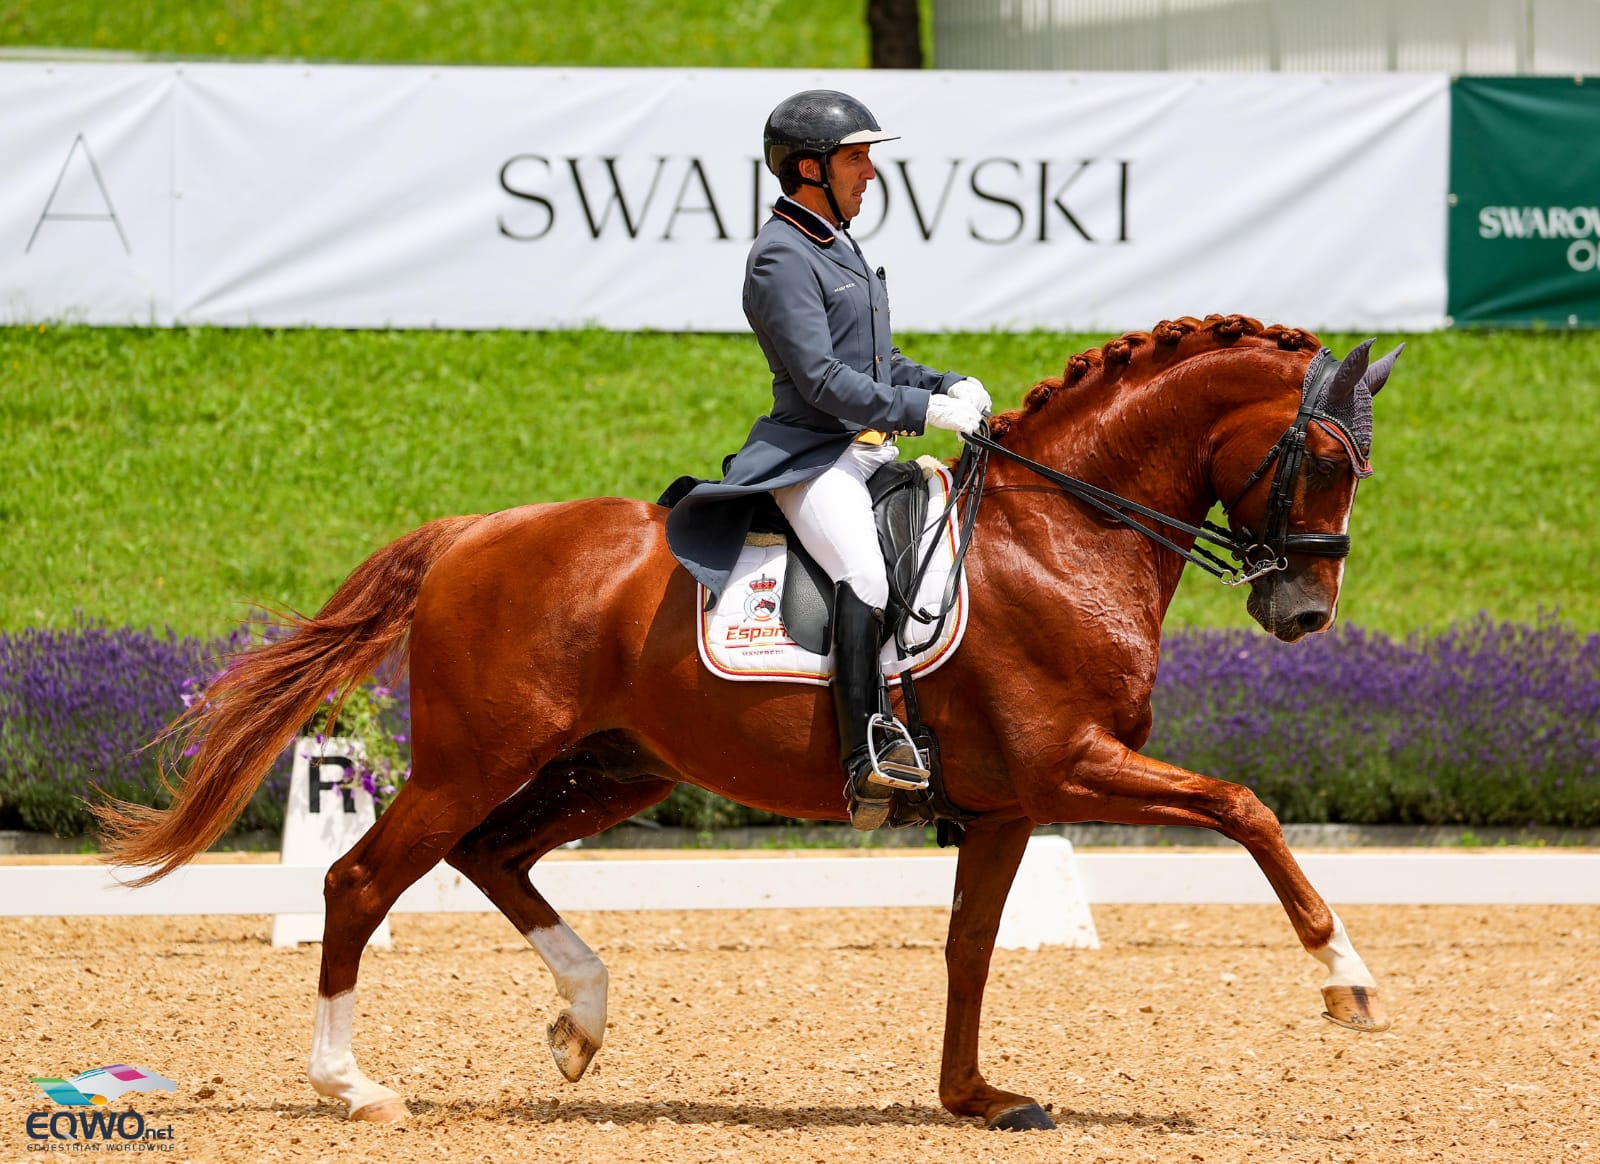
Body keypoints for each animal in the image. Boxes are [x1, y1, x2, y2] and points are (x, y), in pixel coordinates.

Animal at [100, 316, 1401, 1125]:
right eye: (1324, 459)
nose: (1302, 612)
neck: (1062, 533)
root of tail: (472, 531)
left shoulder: (1004, 805)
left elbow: (969, 947)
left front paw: (973, 1099)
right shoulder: (1071, 765)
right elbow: (1245, 807)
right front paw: (1345, 980)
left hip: (617, 767)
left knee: (492, 856)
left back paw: (581, 1022)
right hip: (479, 757)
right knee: (363, 880)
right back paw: (353, 1085)